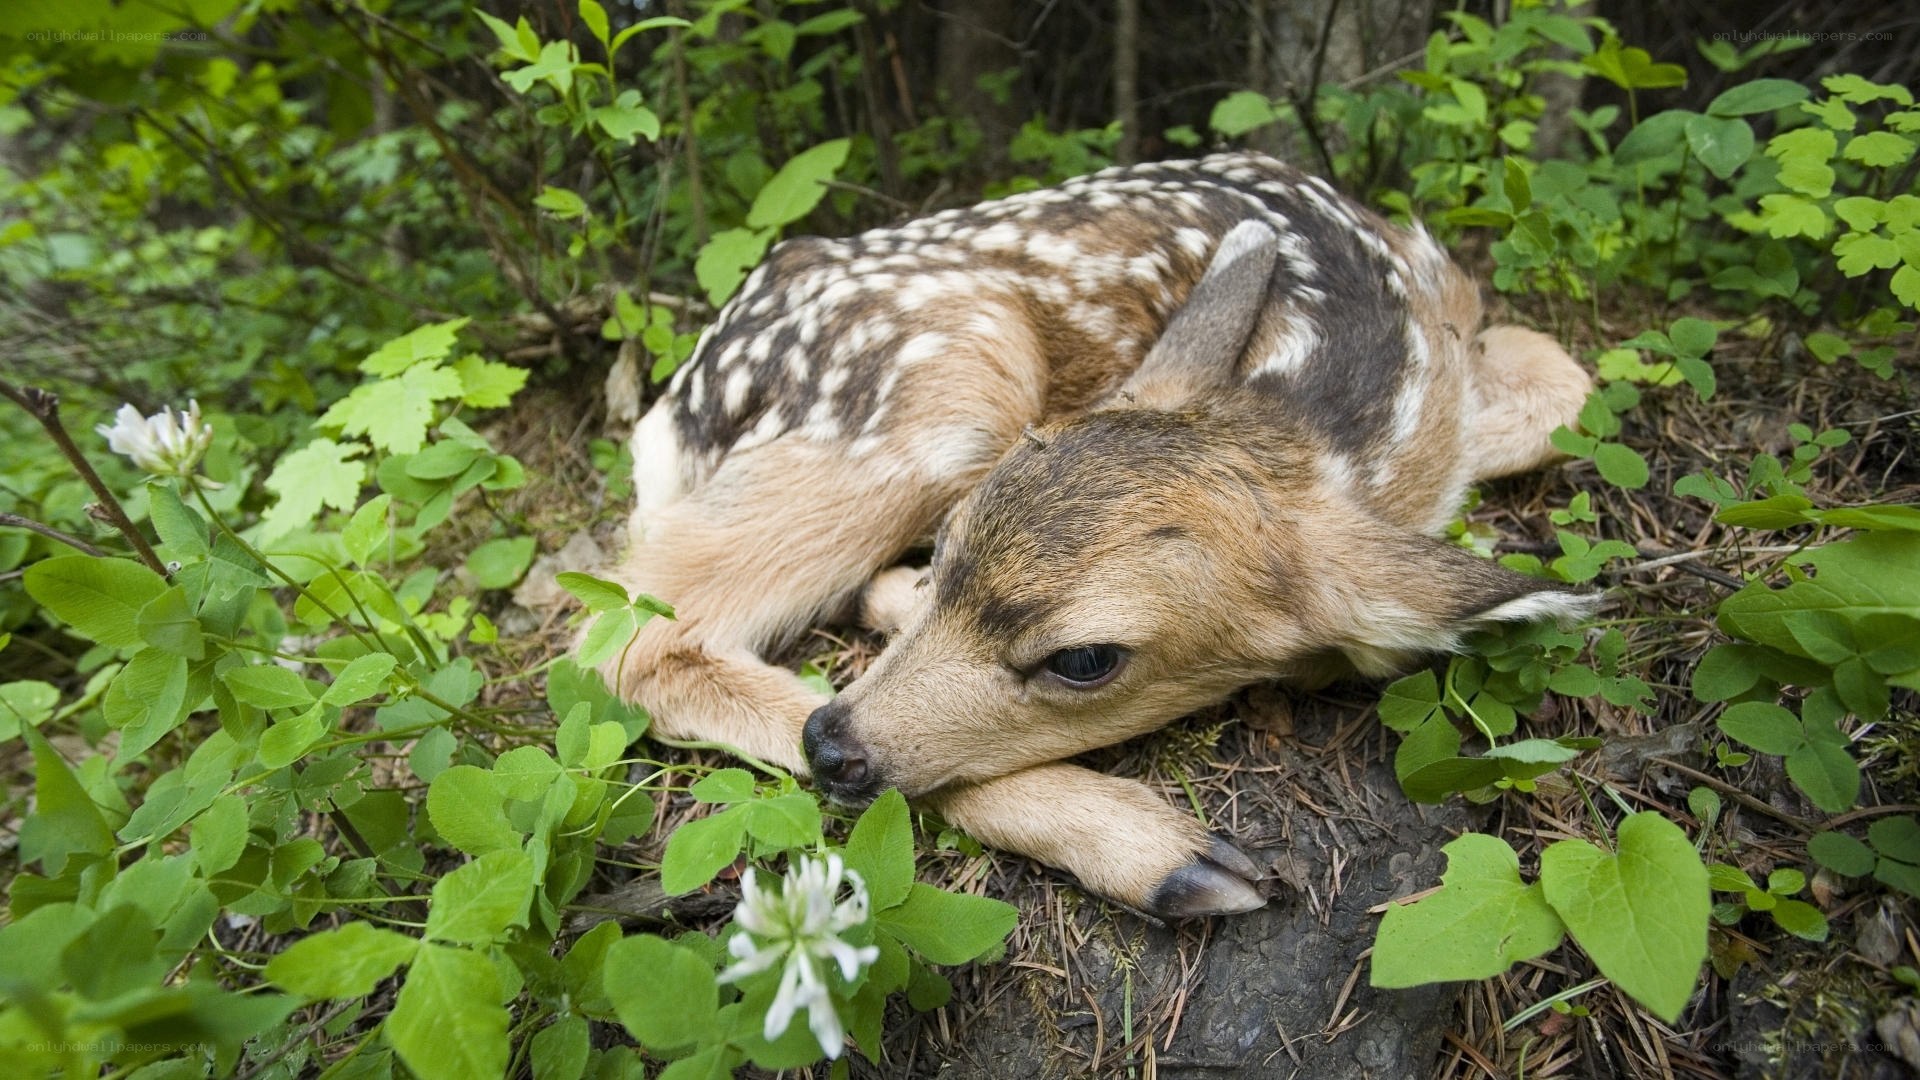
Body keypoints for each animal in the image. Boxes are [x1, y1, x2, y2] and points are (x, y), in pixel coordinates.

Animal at [600, 151, 1595, 920]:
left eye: (1086, 660)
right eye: (949, 544)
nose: (832, 747)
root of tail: (671, 419)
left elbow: (1566, 384)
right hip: (956, 370)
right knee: (633, 644)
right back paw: (1170, 856)